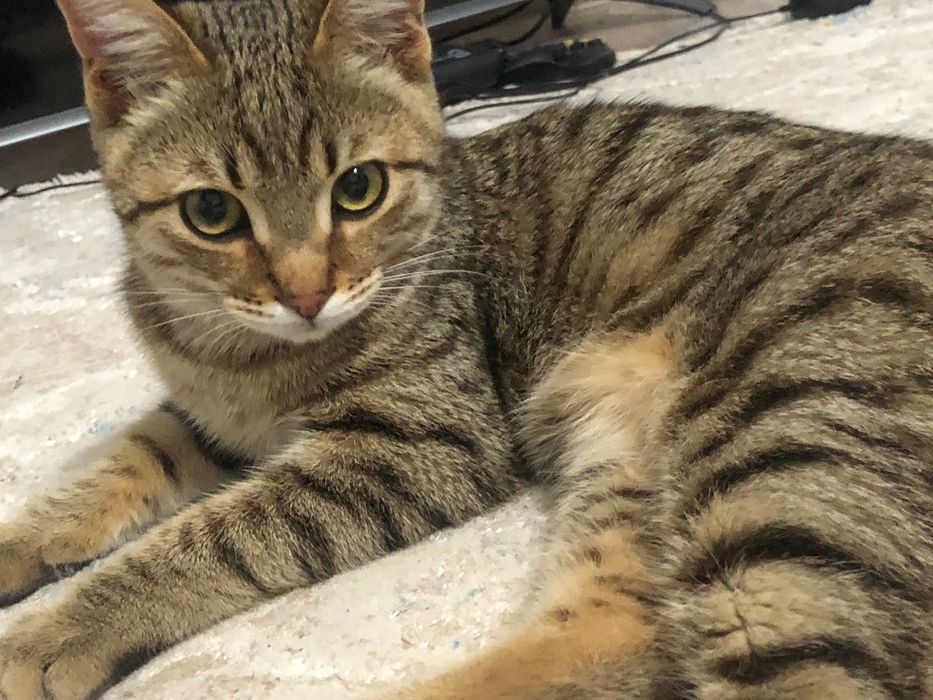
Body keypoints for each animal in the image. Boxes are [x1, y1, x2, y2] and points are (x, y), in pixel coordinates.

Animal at [0, 0, 930, 698]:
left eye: (358, 188)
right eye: (211, 212)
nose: (305, 294)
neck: (244, 358)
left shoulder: (421, 442)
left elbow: (216, 536)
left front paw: (50, 634)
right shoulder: (207, 416)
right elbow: (122, 463)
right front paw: (23, 543)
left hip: (786, 431)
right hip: (629, 454)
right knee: (628, 629)